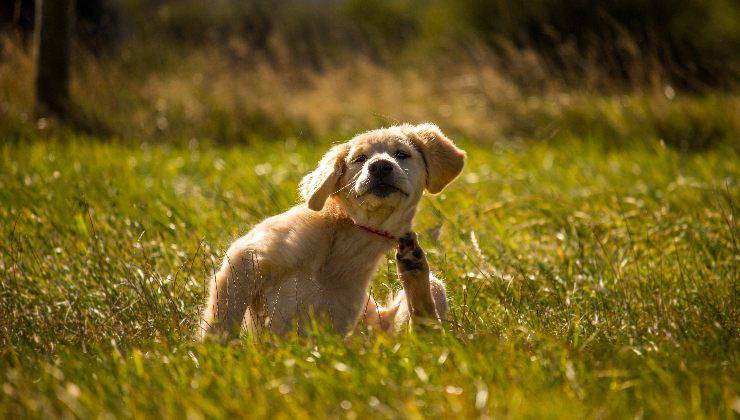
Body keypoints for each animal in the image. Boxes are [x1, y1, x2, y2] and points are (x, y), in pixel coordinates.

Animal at [199, 122, 466, 338]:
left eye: (402, 154)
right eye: (359, 158)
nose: (380, 166)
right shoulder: (246, 257)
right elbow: (222, 320)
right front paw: (215, 355)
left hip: (426, 295)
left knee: (424, 333)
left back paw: (413, 265)